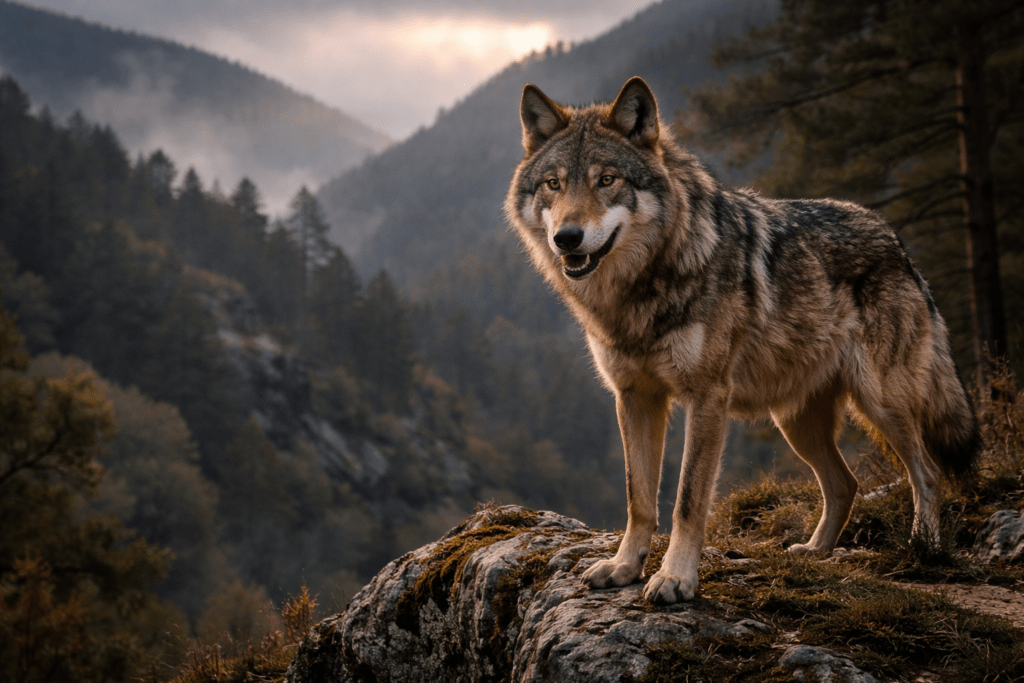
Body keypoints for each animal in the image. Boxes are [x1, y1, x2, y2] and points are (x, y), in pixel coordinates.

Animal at [504, 77, 980, 604]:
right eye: (554, 184)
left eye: (607, 180)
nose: (567, 237)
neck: (643, 287)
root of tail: (896, 240)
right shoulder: (634, 397)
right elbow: (639, 498)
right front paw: (624, 567)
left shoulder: (707, 398)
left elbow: (688, 500)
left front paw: (675, 578)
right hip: (795, 423)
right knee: (846, 483)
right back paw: (815, 551)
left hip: (882, 403)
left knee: (927, 472)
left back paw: (924, 547)